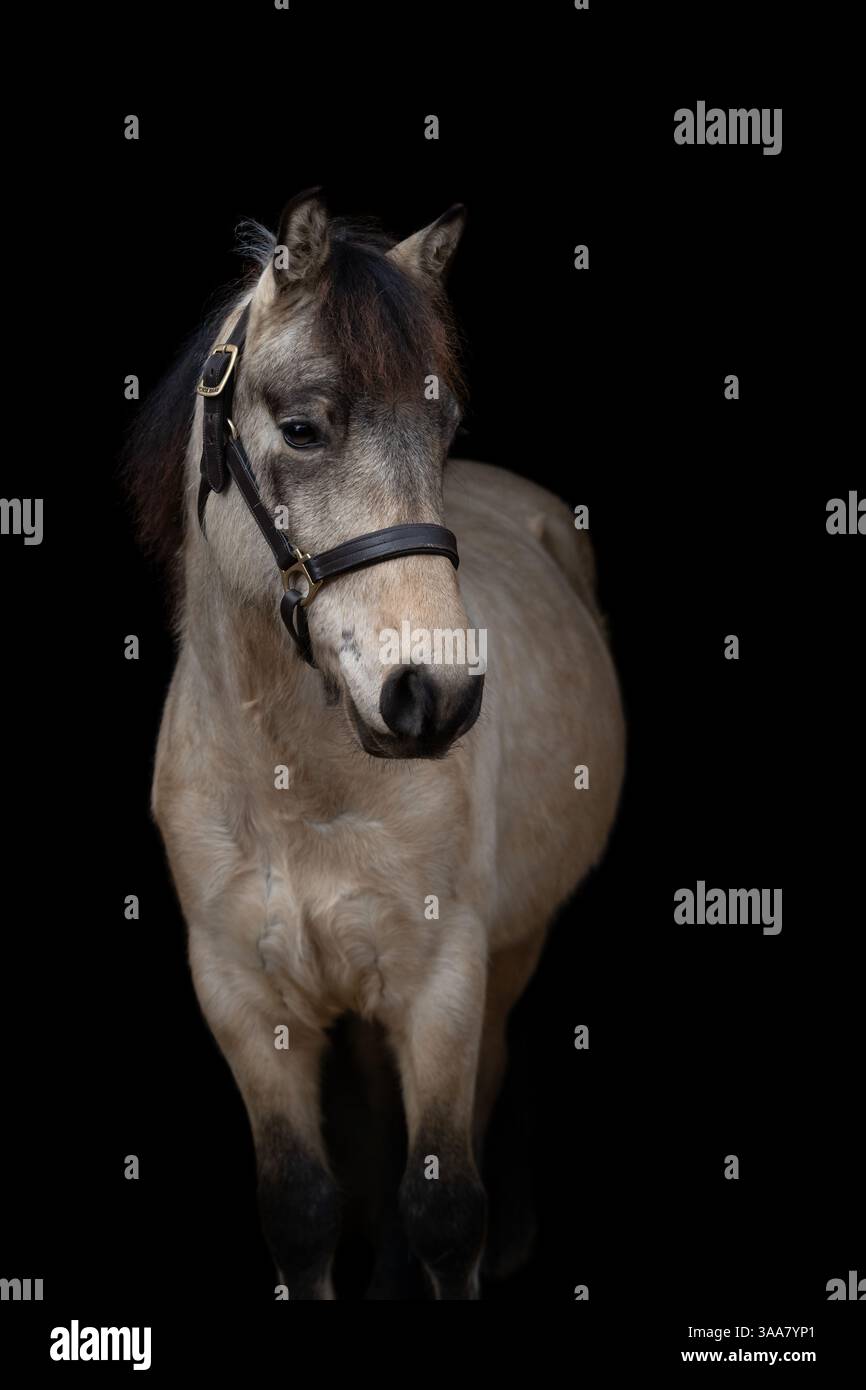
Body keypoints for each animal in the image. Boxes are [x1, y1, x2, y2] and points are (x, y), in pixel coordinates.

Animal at [125, 189, 625, 1300]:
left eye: (443, 429)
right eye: (303, 428)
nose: (432, 697)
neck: (294, 783)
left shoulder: (442, 983)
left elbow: (444, 1208)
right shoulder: (239, 997)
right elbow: (300, 1207)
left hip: (509, 955)